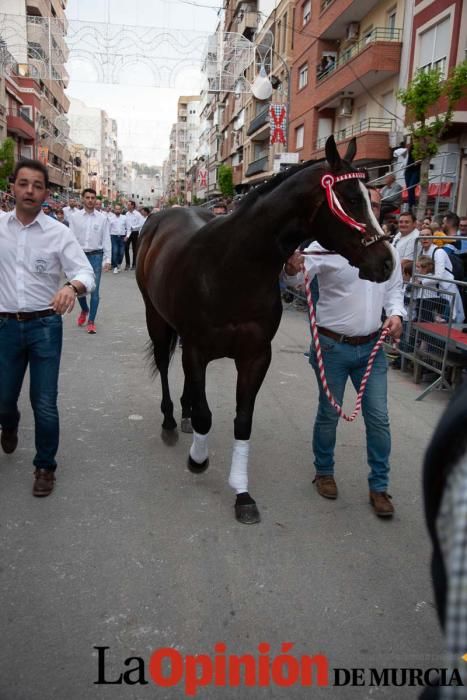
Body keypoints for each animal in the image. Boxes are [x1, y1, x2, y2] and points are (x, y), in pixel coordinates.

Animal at [136, 135, 394, 520]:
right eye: (350, 199)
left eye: (372, 200)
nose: (388, 263)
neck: (231, 267)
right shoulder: (198, 350)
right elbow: (206, 415)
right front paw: (198, 459)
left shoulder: (256, 356)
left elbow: (242, 422)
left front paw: (242, 494)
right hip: (156, 316)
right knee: (166, 364)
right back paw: (170, 420)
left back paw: (183, 413)